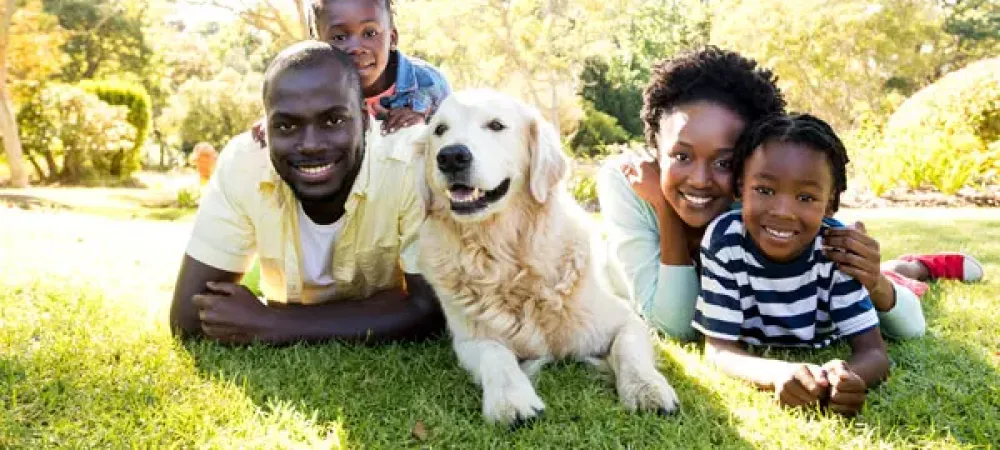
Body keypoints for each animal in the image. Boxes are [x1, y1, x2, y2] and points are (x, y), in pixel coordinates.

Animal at [414, 89, 680, 428]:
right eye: (440, 130)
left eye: (496, 125)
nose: (450, 157)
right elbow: (495, 355)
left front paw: (647, 388)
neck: (506, 260)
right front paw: (512, 401)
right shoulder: (468, 341)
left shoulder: (626, 320)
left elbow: (628, 347)